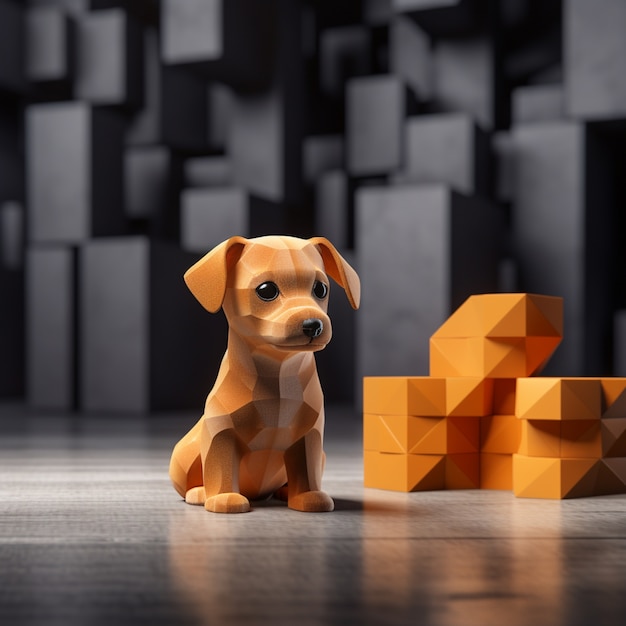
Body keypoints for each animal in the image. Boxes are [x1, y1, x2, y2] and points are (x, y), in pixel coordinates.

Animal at [168, 235, 358, 512]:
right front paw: (224, 498)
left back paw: (285, 491)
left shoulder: (309, 435)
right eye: (266, 290)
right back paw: (200, 492)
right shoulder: (221, 432)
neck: (278, 373)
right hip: (183, 455)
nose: (313, 325)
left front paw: (308, 496)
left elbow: (307, 468)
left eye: (320, 289)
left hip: (321, 455)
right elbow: (220, 465)